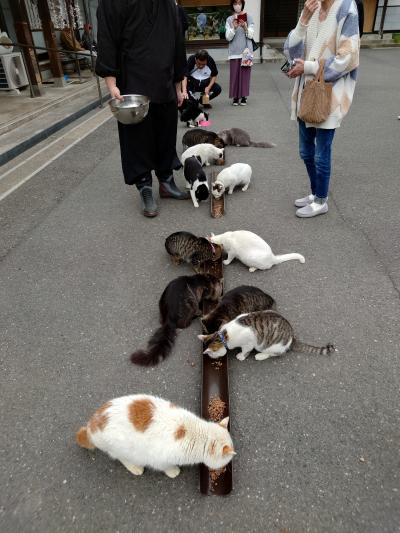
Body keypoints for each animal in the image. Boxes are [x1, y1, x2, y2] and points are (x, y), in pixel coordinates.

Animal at [76, 390, 234, 478]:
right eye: (227, 461)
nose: (226, 468)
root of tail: (91, 425)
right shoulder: (158, 459)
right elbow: (166, 467)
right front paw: (173, 471)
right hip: (120, 448)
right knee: (121, 458)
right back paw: (135, 467)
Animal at [199, 308, 334, 362]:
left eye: (212, 355)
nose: (212, 358)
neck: (223, 335)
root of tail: (292, 338)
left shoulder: (248, 342)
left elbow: (245, 351)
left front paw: (241, 356)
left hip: (270, 346)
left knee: (275, 354)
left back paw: (260, 356)